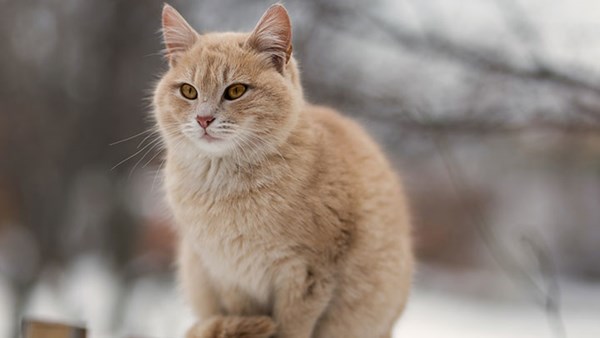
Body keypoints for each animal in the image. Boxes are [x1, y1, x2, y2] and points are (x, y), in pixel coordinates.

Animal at [152, 3, 412, 338]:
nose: (203, 119)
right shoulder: (230, 278)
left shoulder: (306, 276)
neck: (227, 192)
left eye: (235, 91)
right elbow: (243, 316)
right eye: (188, 91)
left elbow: (290, 328)